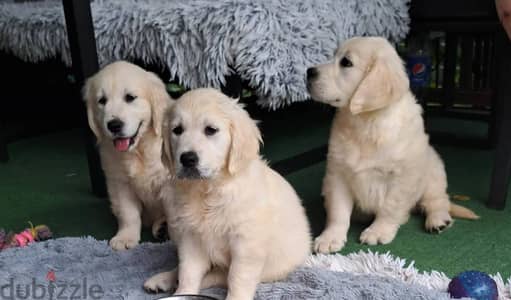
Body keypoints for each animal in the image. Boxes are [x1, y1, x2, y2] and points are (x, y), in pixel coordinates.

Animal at [82, 61, 174, 251]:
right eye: (102, 101)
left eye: (130, 97)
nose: (114, 125)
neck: (138, 150)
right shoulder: (120, 183)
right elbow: (128, 213)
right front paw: (125, 238)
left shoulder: (169, 182)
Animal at [144, 88, 312, 300]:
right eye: (177, 130)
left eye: (210, 130)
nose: (187, 158)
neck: (209, 189)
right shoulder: (191, 237)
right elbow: (188, 271)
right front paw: (183, 293)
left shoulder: (246, 243)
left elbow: (237, 276)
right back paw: (163, 279)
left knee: (217, 275)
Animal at [308, 37, 480, 253]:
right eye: (334, 56)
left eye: (346, 62)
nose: (309, 72)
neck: (367, 122)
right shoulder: (337, 174)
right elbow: (338, 211)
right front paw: (330, 237)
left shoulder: (402, 178)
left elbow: (389, 207)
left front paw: (378, 231)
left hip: (434, 173)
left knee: (438, 201)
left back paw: (438, 220)